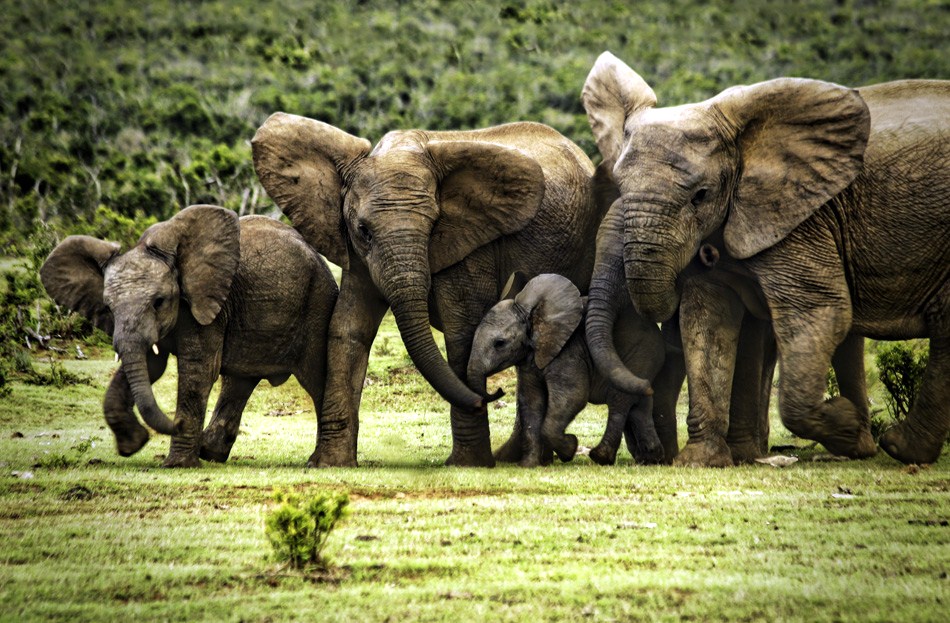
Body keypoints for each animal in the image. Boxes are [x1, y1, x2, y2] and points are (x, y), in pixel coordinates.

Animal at [40, 206, 338, 468]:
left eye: (159, 302)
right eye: (108, 308)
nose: (173, 424)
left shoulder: (208, 305)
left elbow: (199, 371)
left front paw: (176, 464)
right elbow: (150, 366)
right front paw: (132, 444)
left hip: (317, 305)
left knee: (315, 379)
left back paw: (318, 461)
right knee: (239, 381)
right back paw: (210, 452)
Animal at [253, 117, 620, 468]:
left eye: (433, 226)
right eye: (363, 230)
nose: (491, 394)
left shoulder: (471, 242)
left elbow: (461, 332)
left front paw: (469, 465)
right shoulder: (354, 250)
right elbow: (349, 328)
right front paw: (329, 464)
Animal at [466, 274, 660, 468]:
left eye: (499, 343)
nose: (499, 390)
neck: (532, 314)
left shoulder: (569, 350)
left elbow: (572, 396)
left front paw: (569, 449)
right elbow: (531, 402)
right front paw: (529, 465)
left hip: (638, 354)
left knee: (619, 401)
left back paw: (601, 457)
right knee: (640, 407)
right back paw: (651, 458)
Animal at [584, 52, 948, 464]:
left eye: (701, 195)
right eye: (620, 185)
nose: (704, 253)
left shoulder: (802, 218)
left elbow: (821, 311)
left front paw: (846, 425)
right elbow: (706, 322)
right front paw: (701, 461)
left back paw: (894, 447)